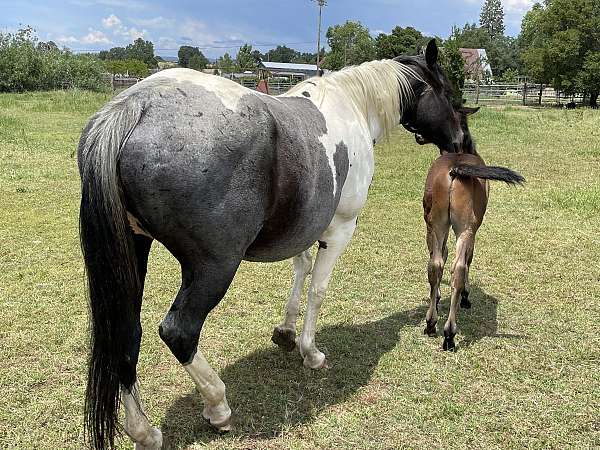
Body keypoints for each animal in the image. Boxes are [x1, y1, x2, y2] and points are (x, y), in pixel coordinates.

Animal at [77, 40, 466, 448]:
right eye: (447, 92)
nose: (460, 142)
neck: (352, 106)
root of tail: (136, 106)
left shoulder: (304, 228)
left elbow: (301, 270)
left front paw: (286, 332)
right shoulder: (338, 231)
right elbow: (317, 290)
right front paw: (310, 351)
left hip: (134, 253)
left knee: (125, 335)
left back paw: (144, 432)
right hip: (213, 267)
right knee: (179, 332)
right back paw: (218, 406)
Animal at [422, 109, 524, 352]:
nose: (419, 136)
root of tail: (455, 169)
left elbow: (440, 255)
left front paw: (437, 297)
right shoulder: (473, 231)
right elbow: (468, 260)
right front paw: (466, 296)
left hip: (437, 224)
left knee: (435, 265)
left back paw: (431, 323)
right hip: (466, 229)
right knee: (459, 268)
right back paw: (449, 334)